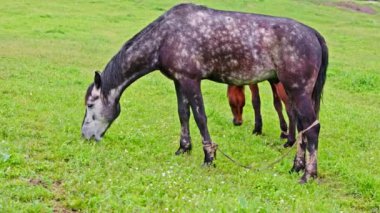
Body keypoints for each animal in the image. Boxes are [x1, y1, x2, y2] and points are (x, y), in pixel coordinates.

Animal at [81, 3, 328, 183]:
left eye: (90, 105)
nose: (85, 136)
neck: (165, 36)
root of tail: (313, 34)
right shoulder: (179, 81)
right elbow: (183, 114)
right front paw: (183, 149)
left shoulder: (191, 81)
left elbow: (200, 118)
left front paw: (209, 158)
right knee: (303, 129)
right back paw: (296, 167)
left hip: (297, 90)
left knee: (312, 128)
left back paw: (308, 175)